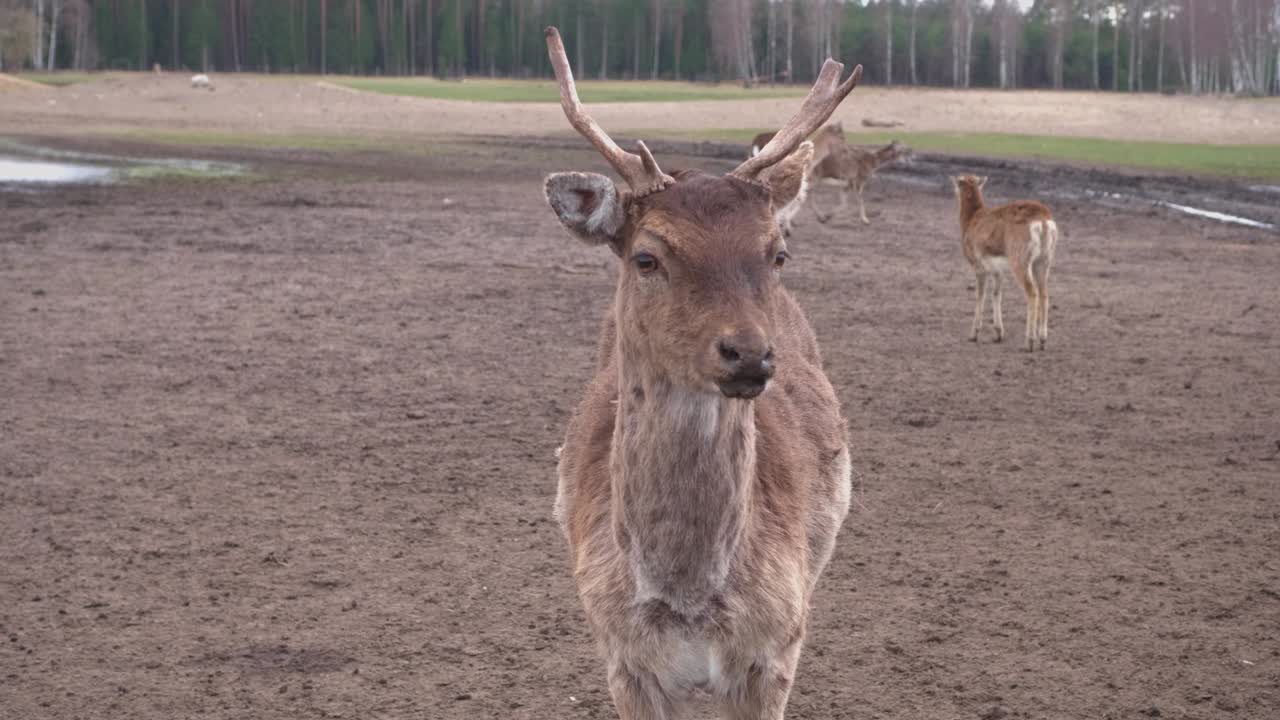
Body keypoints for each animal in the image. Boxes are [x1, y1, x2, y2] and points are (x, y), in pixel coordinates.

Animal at [542, 26, 860, 720]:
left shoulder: (776, 649)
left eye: (778, 253)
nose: (750, 354)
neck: (686, 600)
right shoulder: (623, 657)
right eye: (646, 257)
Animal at [952, 174, 1059, 352]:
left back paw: (1029, 342)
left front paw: (973, 335)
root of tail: (1043, 219)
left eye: (958, 183)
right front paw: (998, 334)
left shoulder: (979, 267)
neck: (972, 221)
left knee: (1032, 292)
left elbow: (980, 295)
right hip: (1043, 261)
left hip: (1020, 261)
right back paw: (1043, 340)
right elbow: (996, 294)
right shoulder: (998, 271)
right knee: (1044, 293)